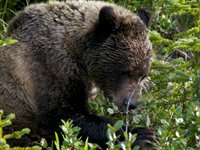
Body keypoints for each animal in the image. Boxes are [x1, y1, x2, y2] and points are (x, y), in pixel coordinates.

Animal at [0, 0, 153, 149]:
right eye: (126, 71)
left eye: (143, 75)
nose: (130, 103)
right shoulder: (51, 68)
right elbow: (65, 115)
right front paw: (141, 135)